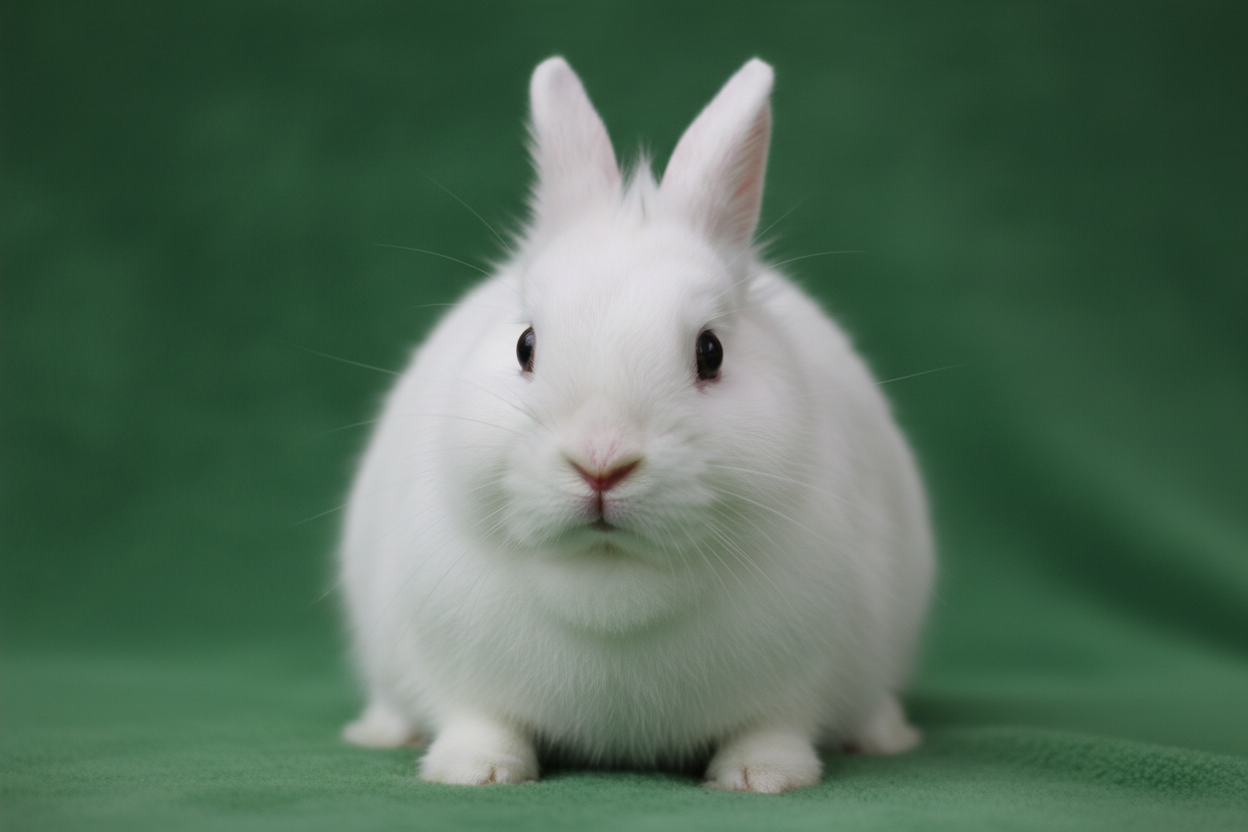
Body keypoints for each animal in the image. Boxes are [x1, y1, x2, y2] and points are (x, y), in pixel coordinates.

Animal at [338, 56, 934, 793]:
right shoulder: (456, 664)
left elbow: (773, 726)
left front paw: (762, 777)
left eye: (711, 352)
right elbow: (480, 718)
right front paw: (475, 771)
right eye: (525, 345)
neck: (612, 588)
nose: (601, 462)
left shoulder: (798, 677)